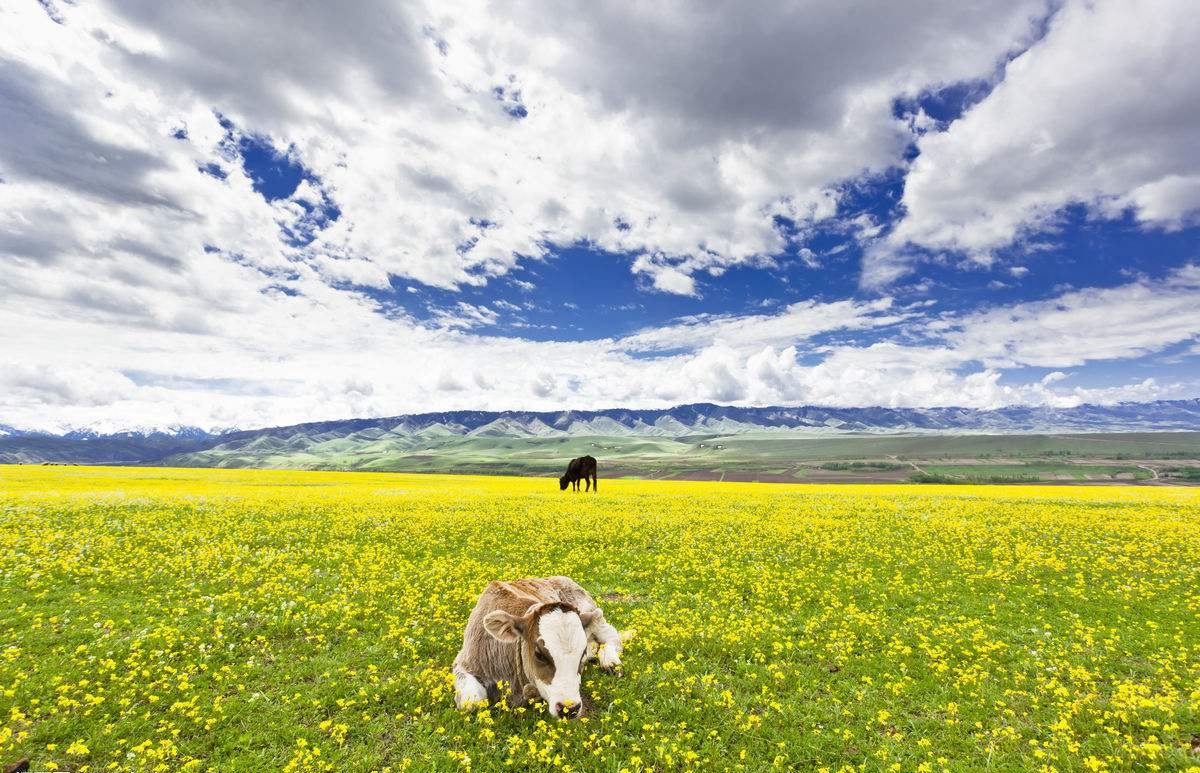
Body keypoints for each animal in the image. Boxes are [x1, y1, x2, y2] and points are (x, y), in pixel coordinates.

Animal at [453, 573, 624, 720]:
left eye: (582, 653)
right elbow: (471, 702)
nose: (570, 708)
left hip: (591, 612)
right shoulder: (463, 663)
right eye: (539, 654)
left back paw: (610, 662)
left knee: (611, 635)